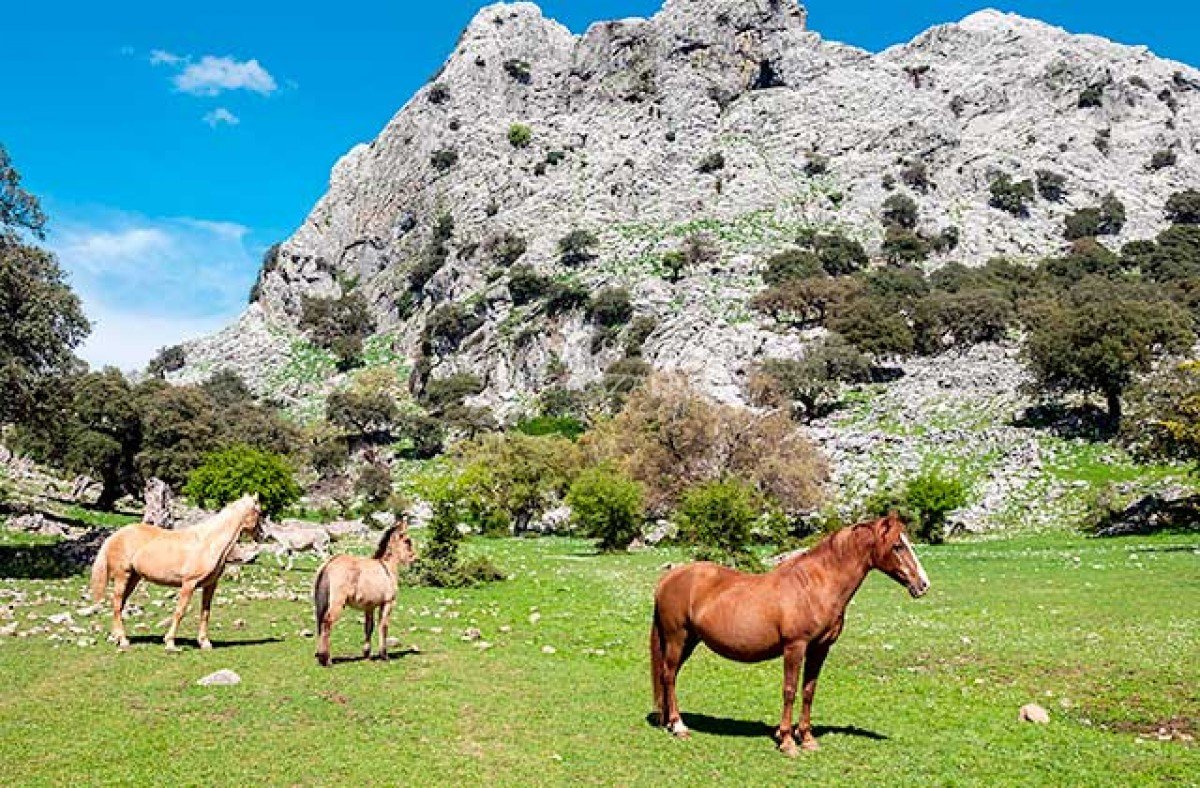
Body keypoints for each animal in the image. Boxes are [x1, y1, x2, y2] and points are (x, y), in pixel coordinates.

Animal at [90, 491, 264, 652]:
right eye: (259, 511)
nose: (261, 535)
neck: (209, 543)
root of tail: (114, 536)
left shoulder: (210, 585)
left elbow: (205, 612)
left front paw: (205, 643)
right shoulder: (189, 584)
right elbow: (180, 611)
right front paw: (170, 642)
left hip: (133, 578)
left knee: (120, 605)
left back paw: (115, 638)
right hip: (123, 576)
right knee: (117, 604)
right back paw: (123, 640)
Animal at [314, 522, 417, 662]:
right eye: (407, 541)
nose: (415, 557)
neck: (387, 567)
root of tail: (328, 564)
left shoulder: (369, 606)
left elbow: (369, 627)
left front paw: (367, 654)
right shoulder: (388, 603)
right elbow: (383, 626)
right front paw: (384, 655)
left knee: (320, 623)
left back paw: (321, 656)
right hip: (337, 602)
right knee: (327, 622)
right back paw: (326, 659)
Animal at [652, 510, 931, 758]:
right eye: (897, 546)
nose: (923, 585)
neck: (814, 587)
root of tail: (670, 577)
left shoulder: (820, 649)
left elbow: (808, 691)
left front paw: (807, 739)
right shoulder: (794, 647)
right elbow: (790, 690)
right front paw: (786, 741)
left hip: (689, 641)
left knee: (669, 675)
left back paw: (669, 723)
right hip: (677, 638)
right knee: (669, 675)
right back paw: (679, 726)